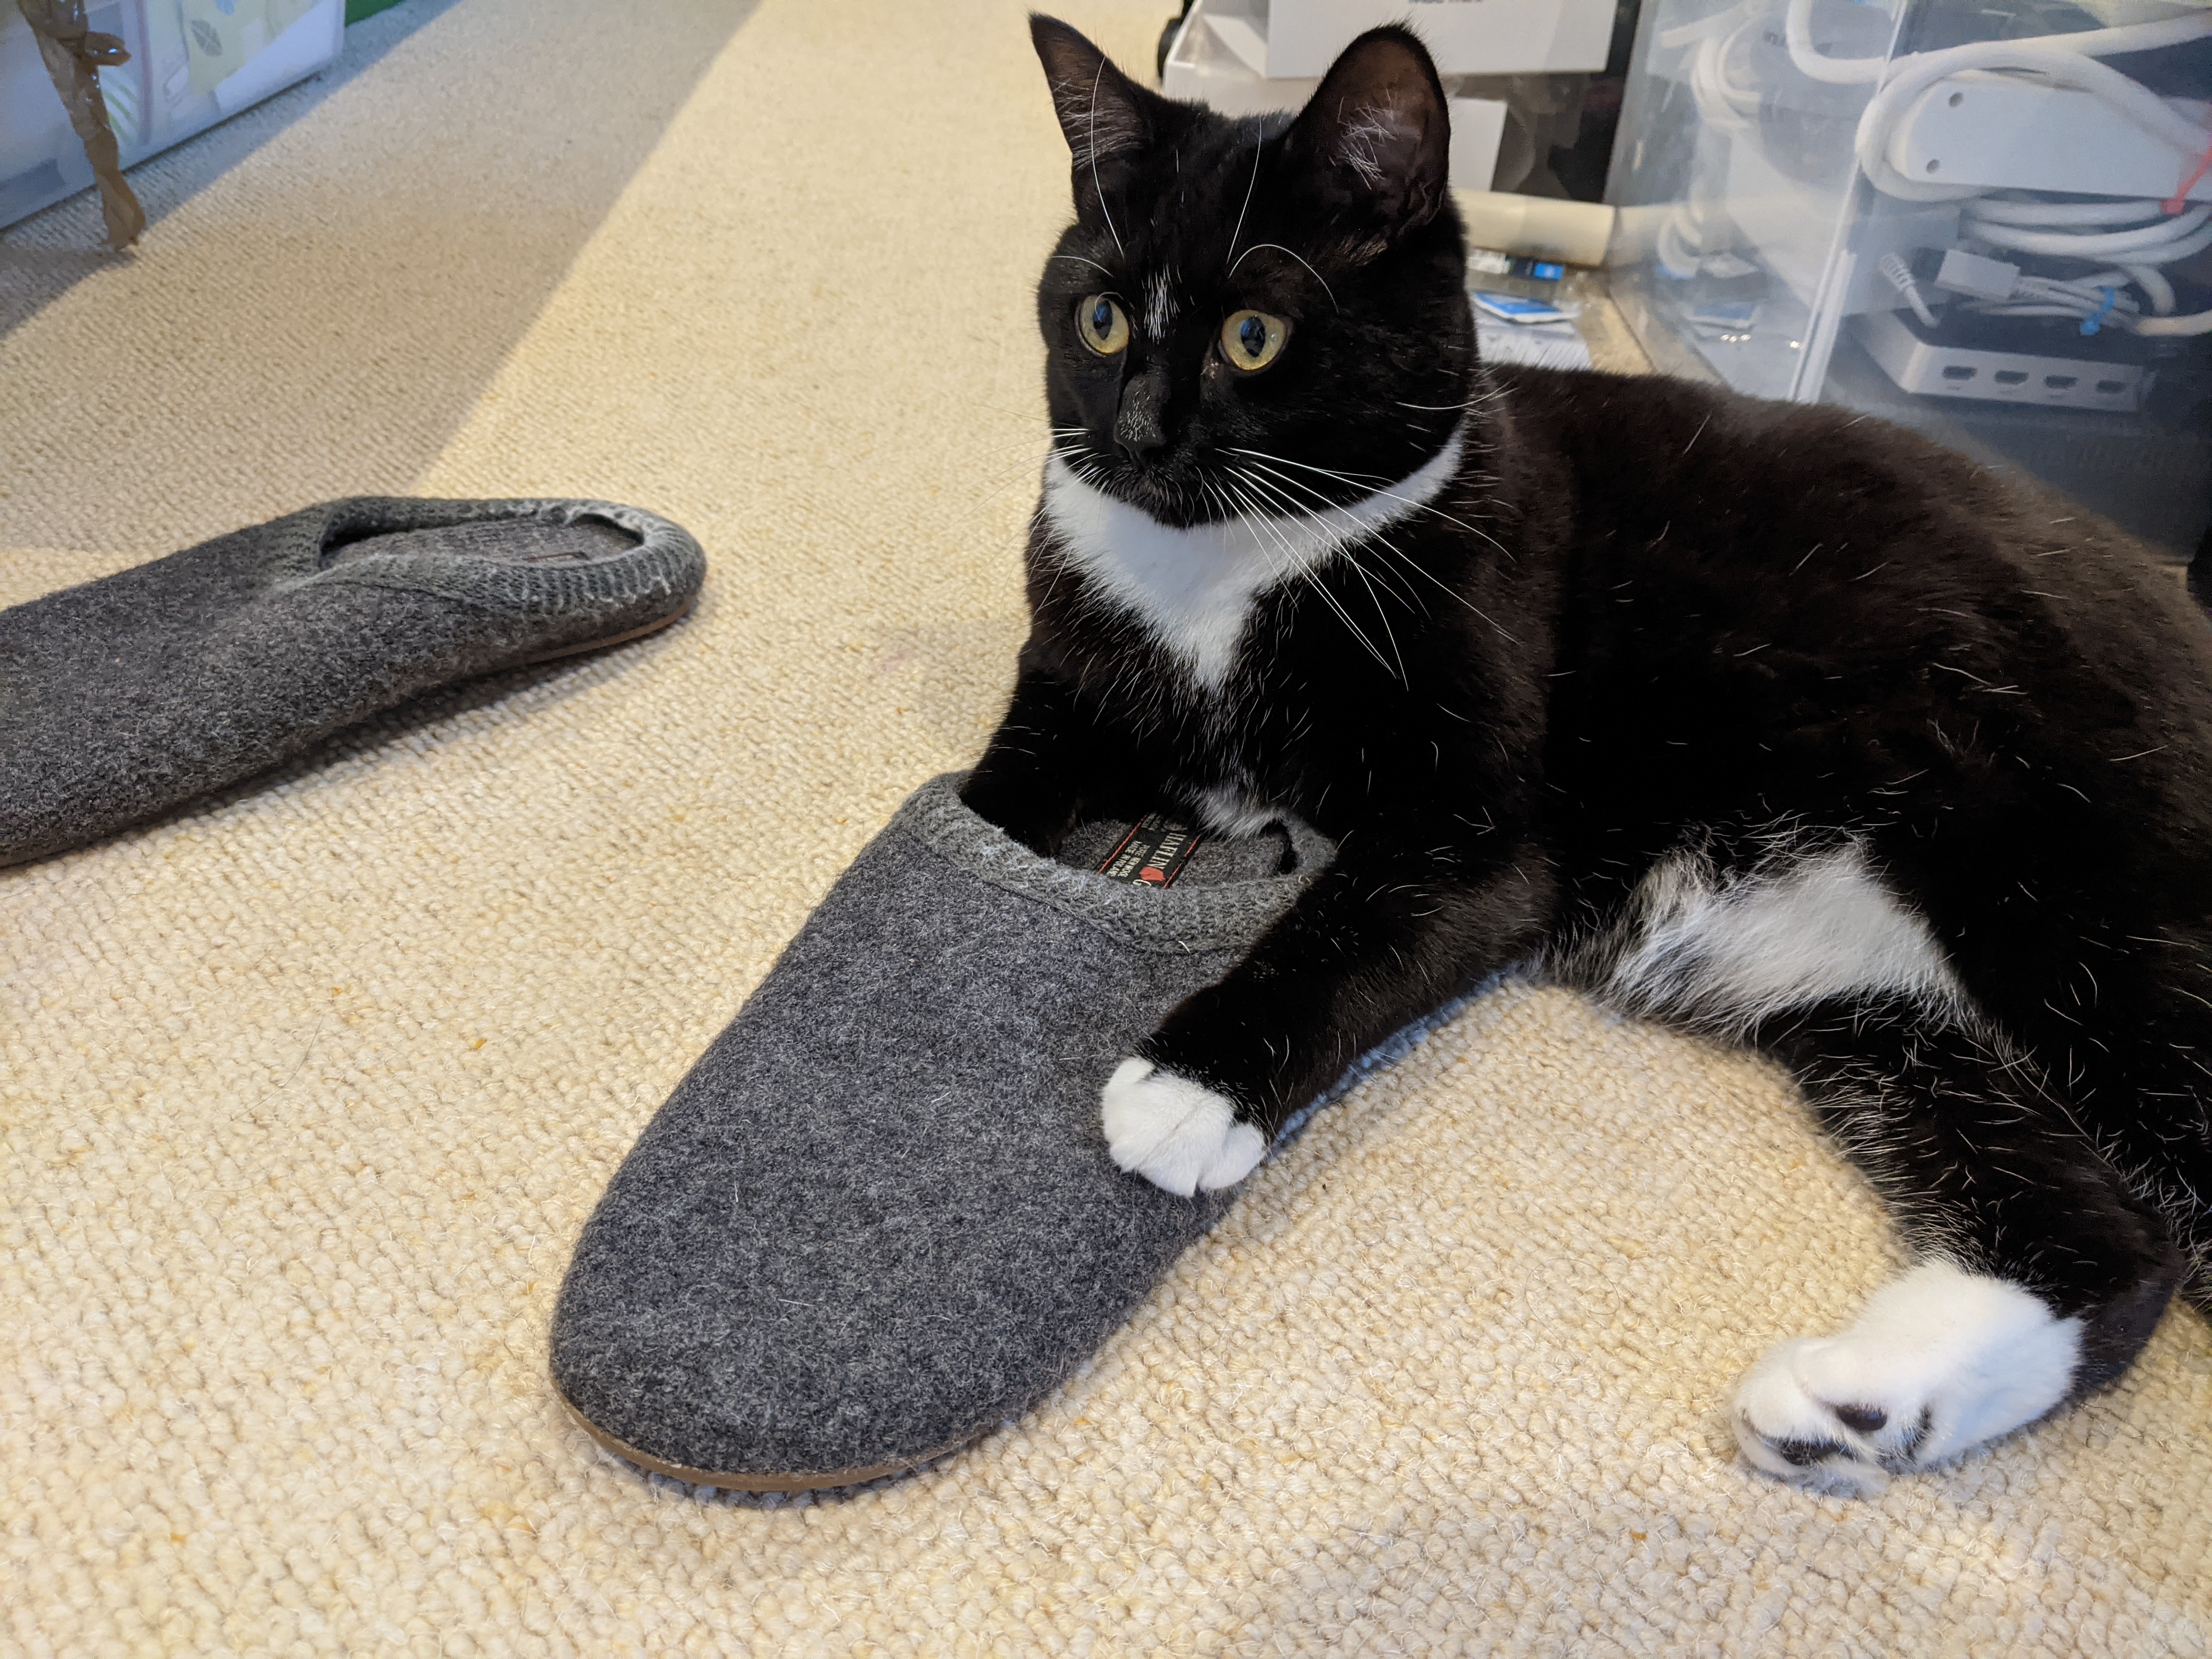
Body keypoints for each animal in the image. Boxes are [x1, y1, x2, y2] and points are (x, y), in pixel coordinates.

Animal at [969, 13, 2212, 1495]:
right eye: (1098, 320)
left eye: (1253, 338)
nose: (1138, 435)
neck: (1218, 578)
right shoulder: (1069, 685)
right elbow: (993, 803)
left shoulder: (1480, 811)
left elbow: (1349, 918)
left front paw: (1190, 1086)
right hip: (1897, 1014)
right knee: (2110, 1246)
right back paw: (1858, 1405)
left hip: (2071, 891)